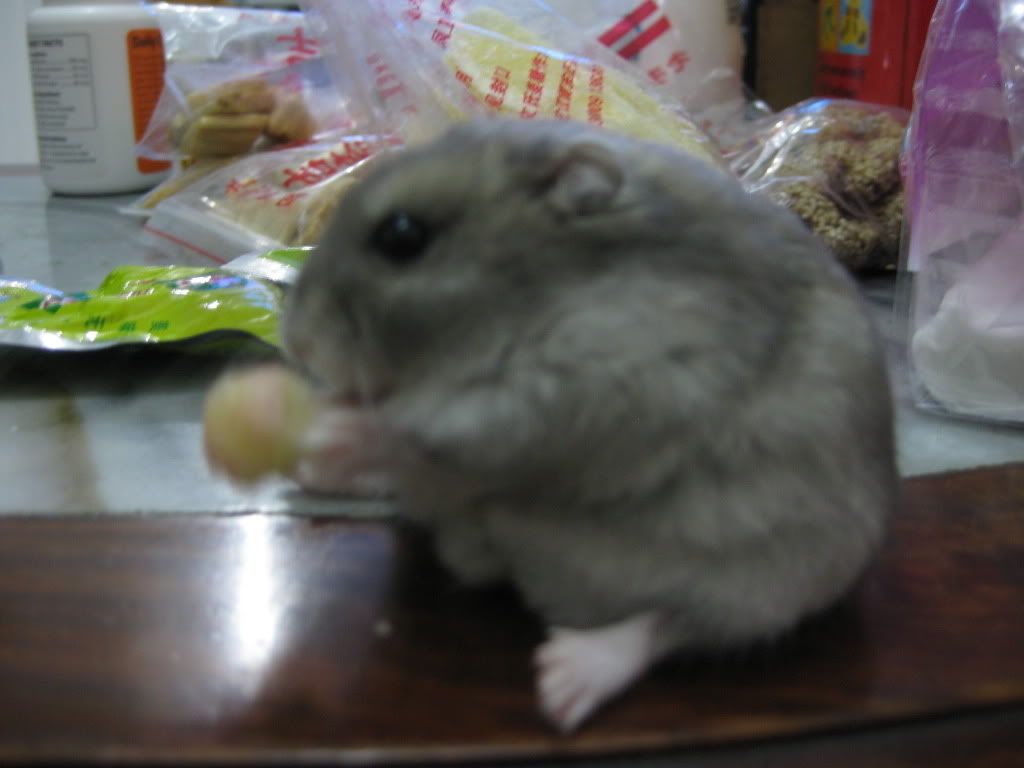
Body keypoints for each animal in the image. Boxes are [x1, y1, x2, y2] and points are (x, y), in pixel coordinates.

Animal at [281, 118, 898, 732]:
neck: (526, 301)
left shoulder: (595, 387)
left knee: (666, 626)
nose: (298, 343)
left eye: (402, 236)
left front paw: (336, 428)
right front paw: (320, 424)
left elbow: (428, 427)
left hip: (764, 584)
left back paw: (563, 681)